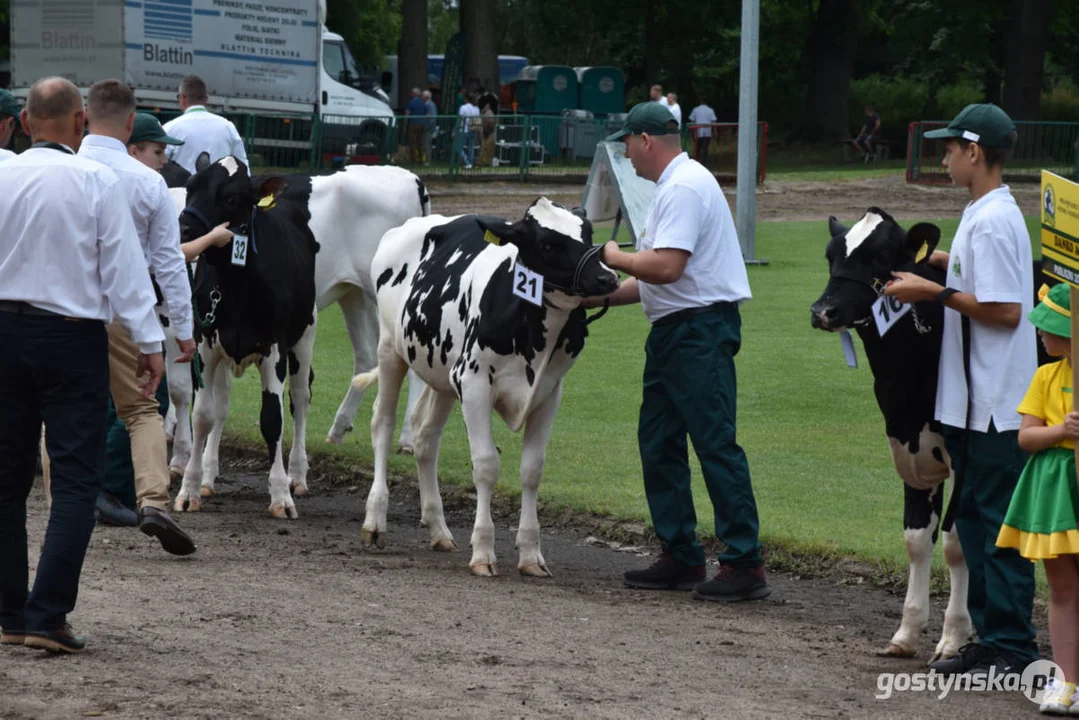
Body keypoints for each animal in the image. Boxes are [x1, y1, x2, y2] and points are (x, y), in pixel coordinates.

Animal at [353, 199, 621, 578]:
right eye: (547, 244)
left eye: (588, 232)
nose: (607, 277)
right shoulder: (474, 381)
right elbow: (485, 465)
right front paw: (482, 551)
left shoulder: (549, 392)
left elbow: (532, 470)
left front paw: (530, 554)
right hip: (391, 348)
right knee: (383, 424)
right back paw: (375, 521)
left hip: (443, 373)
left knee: (425, 436)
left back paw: (439, 530)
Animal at [811, 205, 971, 660]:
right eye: (831, 256)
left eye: (881, 258)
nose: (823, 310)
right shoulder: (910, 449)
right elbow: (917, 538)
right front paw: (907, 632)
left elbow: (957, 542)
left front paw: (954, 637)